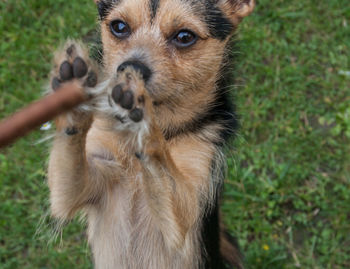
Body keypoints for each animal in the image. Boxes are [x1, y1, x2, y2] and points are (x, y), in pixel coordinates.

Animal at [47, 0, 254, 268]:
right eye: (119, 27)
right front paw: (72, 89)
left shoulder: (188, 212)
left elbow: (162, 156)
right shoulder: (73, 191)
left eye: (184, 37)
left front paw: (144, 119)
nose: (131, 67)